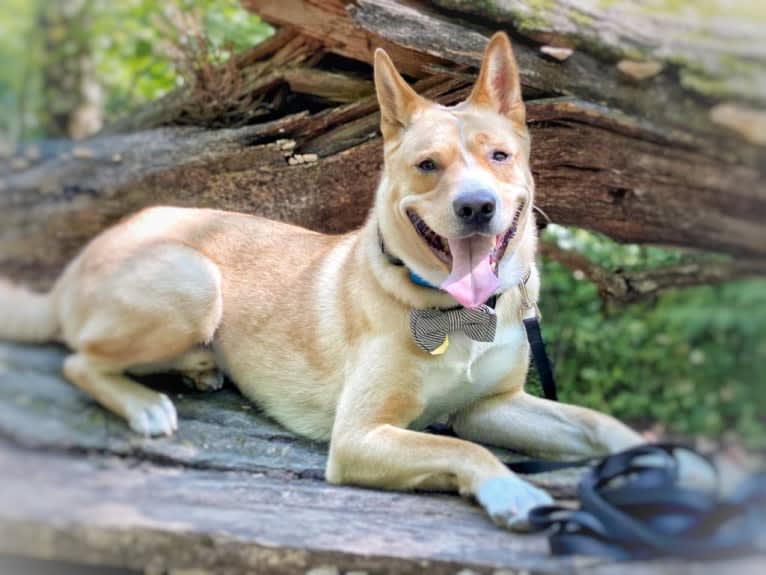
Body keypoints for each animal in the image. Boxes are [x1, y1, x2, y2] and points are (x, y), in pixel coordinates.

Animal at [1, 33, 648, 532]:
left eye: (499, 156)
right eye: (427, 165)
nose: (476, 207)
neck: (458, 310)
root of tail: (78, 262)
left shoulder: (492, 405)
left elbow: (594, 423)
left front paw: (660, 460)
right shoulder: (359, 436)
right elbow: (459, 446)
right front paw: (512, 489)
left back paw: (198, 367)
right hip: (194, 280)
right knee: (79, 360)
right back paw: (145, 404)